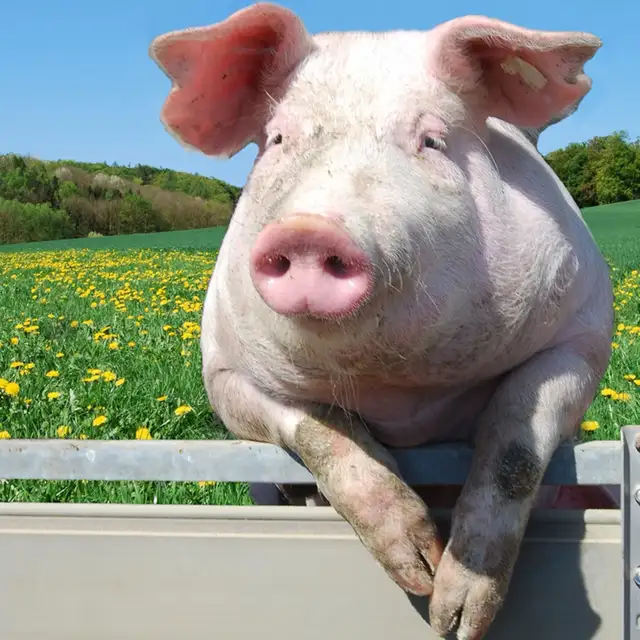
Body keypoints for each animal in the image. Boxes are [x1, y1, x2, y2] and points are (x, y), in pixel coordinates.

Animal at [149, 4, 614, 638]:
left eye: (432, 141)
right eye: (277, 140)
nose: (310, 229)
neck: (400, 389)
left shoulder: (583, 330)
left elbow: (516, 444)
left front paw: (455, 618)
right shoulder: (224, 372)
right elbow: (321, 432)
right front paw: (419, 572)